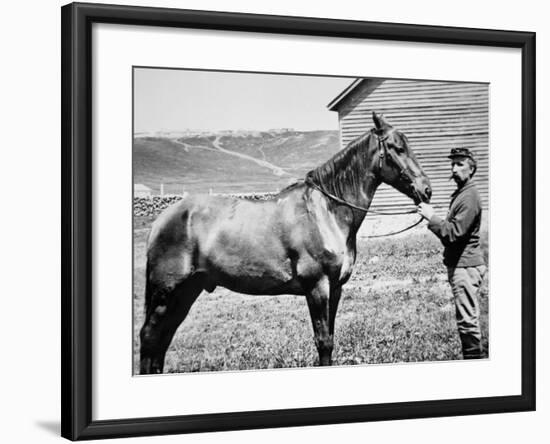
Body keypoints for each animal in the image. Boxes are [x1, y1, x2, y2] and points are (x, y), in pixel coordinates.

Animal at [138, 112, 432, 374]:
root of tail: (162, 219)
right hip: (168, 293)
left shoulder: (335, 289)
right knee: (150, 337)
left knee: (163, 338)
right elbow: (323, 342)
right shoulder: (317, 288)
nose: (426, 190)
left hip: (187, 291)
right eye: (397, 148)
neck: (325, 211)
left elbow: (330, 338)